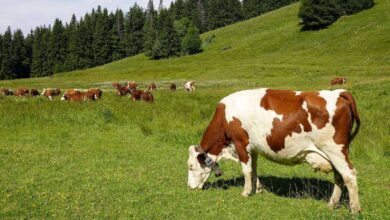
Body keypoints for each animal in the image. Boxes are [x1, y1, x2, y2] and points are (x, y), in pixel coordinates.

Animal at [187, 88, 362, 214]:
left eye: (191, 166)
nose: (189, 187)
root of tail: (339, 92)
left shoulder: (240, 143)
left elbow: (246, 170)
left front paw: (246, 192)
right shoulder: (253, 148)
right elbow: (253, 170)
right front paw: (258, 189)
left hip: (335, 150)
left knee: (349, 175)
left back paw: (354, 209)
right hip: (336, 153)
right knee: (339, 177)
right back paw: (332, 204)